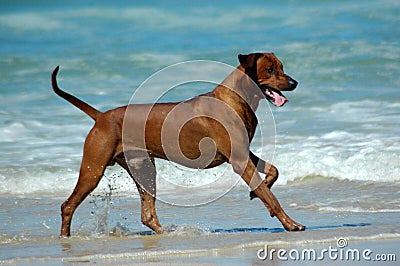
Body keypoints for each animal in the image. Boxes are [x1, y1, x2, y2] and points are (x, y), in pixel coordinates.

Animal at [51, 53, 304, 236]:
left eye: (282, 66)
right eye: (270, 70)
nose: (294, 82)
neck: (237, 98)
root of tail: (101, 116)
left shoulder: (244, 153)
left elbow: (274, 172)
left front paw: (257, 191)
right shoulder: (239, 160)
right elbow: (269, 197)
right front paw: (290, 223)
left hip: (143, 168)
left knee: (147, 215)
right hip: (93, 170)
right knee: (68, 205)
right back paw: (65, 238)